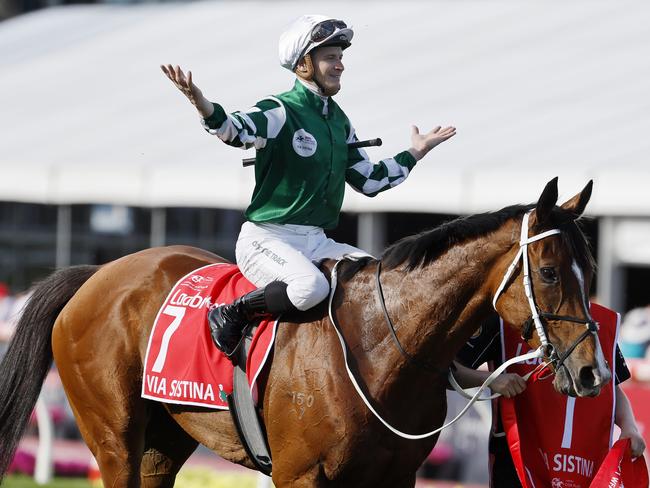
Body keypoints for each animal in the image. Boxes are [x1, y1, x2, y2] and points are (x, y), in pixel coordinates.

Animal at [0, 177, 608, 486]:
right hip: (114, 438)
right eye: (550, 272)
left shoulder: (392, 478)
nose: (593, 373)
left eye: (591, 268)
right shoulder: (301, 478)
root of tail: (95, 275)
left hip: (163, 442)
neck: (381, 348)